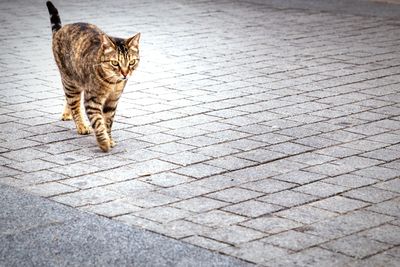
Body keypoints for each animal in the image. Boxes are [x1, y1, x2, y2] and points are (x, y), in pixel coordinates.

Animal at [46, 1, 141, 153]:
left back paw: (67, 114)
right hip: (70, 81)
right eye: (115, 63)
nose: (125, 74)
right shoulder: (92, 100)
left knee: (70, 100)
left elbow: (107, 122)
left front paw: (109, 139)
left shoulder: (112, 101)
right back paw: (81, 126)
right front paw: (104, 142)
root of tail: (60, 30)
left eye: (131, 62)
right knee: (74, 104)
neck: (113, 83)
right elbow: (98, 122)